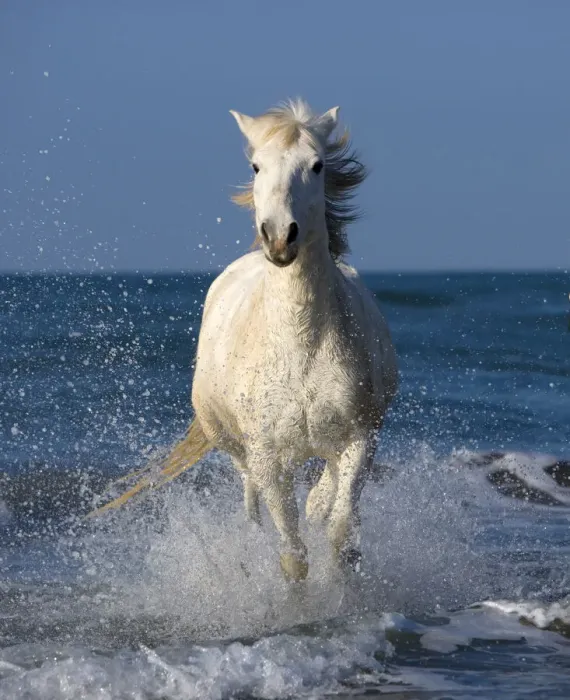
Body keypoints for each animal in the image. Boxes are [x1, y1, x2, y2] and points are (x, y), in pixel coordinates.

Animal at [89, 99, 398, 583]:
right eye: (256, 166)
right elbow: (293, 556)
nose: (280, 236)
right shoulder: (267, 457)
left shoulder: (360, 440)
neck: (300, 346)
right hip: (238, 450)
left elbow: (340, 535)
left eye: (317, 165)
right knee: (252, 502)